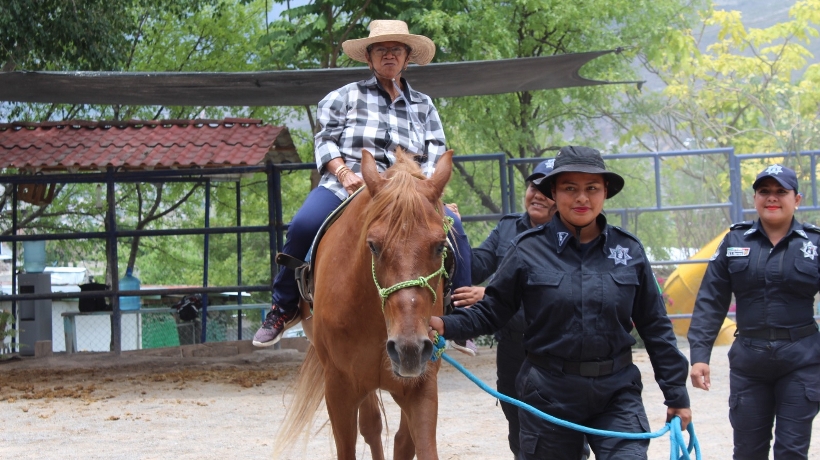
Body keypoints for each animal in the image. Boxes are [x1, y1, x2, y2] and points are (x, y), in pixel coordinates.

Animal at [272, 148, 452, 460]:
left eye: (440, 246)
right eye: (373, 245)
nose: (408, 349)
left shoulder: (422, 385)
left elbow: (414, 445)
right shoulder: (339, 389)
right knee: (372, 426)